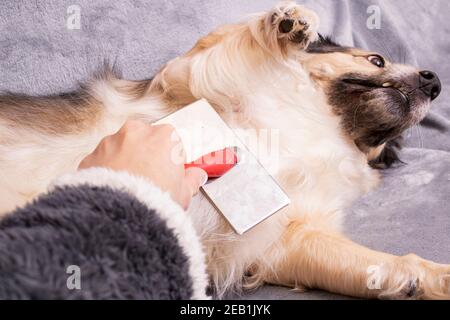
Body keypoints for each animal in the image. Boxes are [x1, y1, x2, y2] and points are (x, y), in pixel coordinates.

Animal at [0, 1, 448, 298]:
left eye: (383, 143)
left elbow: (387, 264)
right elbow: (231, 39)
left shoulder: (283, 242)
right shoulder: (191, 75)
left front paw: (434, 279)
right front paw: (289, 24)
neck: (322, 121)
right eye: (376, 60)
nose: (434, 82)